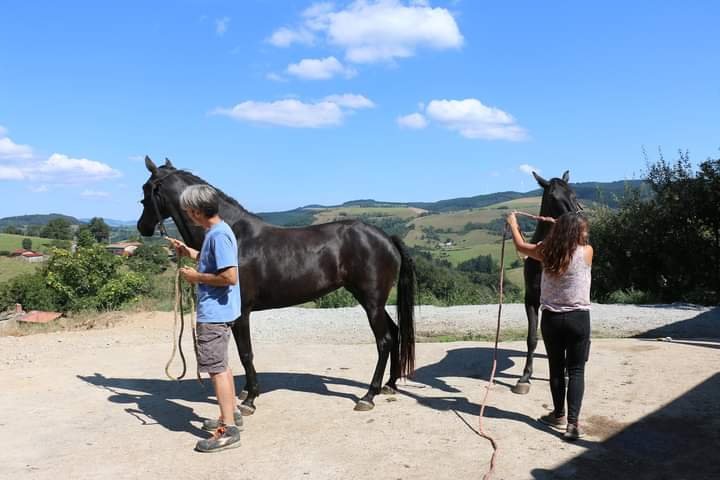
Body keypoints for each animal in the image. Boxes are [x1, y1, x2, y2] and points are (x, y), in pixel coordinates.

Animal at [137, 157, 416, 414]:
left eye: (145, 190)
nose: (142, 227)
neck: (235, 235)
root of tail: (386, 238)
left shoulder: (242, 313)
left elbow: (245, 353)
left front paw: (250, 400)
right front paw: (246, 392)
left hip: (371, 301)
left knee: (384, 340)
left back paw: (369, 395)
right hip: (373, 301)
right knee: (395, 332)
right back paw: (389, 385)